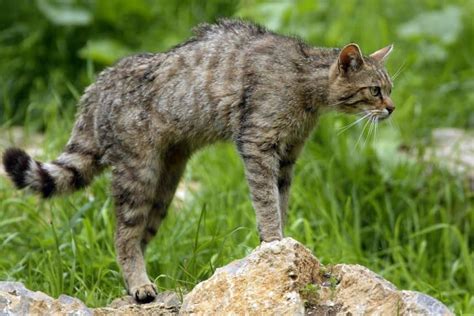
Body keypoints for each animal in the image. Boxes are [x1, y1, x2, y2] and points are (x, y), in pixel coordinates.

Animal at [1, 18, 394, 302]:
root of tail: (97, 85)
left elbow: (280, 200)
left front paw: (282, 242)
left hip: (165, 185)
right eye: (375, 91)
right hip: (138, 173)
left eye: (390, 89)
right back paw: (140, 285)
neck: (305, 85)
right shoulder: (258, 144)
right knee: (123, 235)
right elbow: (266, 201)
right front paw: (273, 241)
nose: (391, 108)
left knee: (138, 236)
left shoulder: (287, 158)